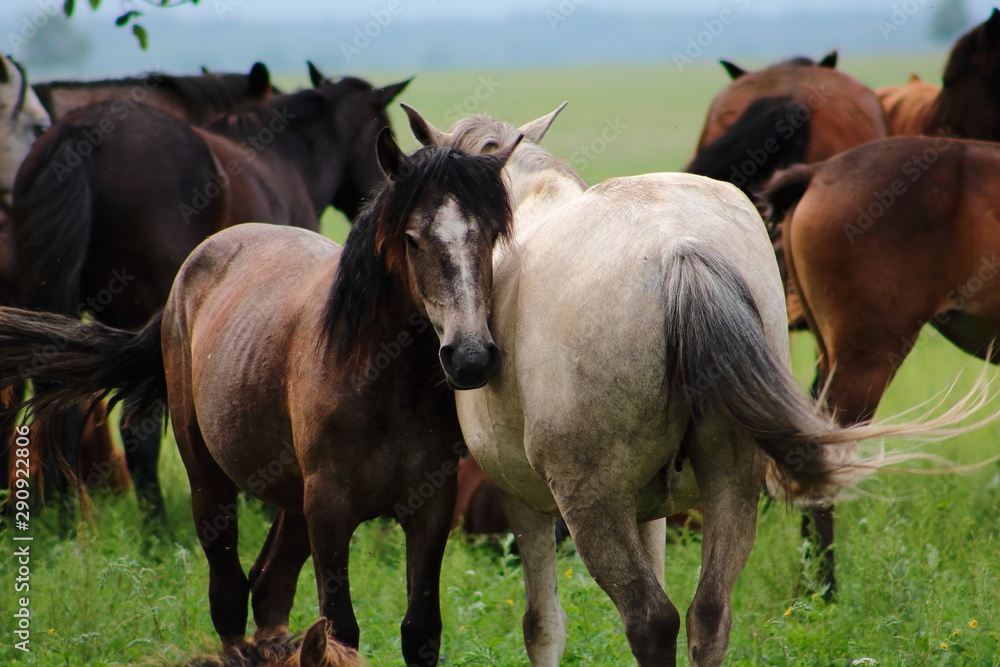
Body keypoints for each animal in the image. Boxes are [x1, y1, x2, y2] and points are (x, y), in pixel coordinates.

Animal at [0, 128, 520, 665]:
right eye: (412, 238)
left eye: (490, 237)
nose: (470, 357)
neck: (384, 381)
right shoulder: (329, 508)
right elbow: (341, 629)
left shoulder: (430, 505)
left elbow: (420, 630)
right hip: (210, 479)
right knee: (228, 592)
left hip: (293, 499)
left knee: (269, 584)